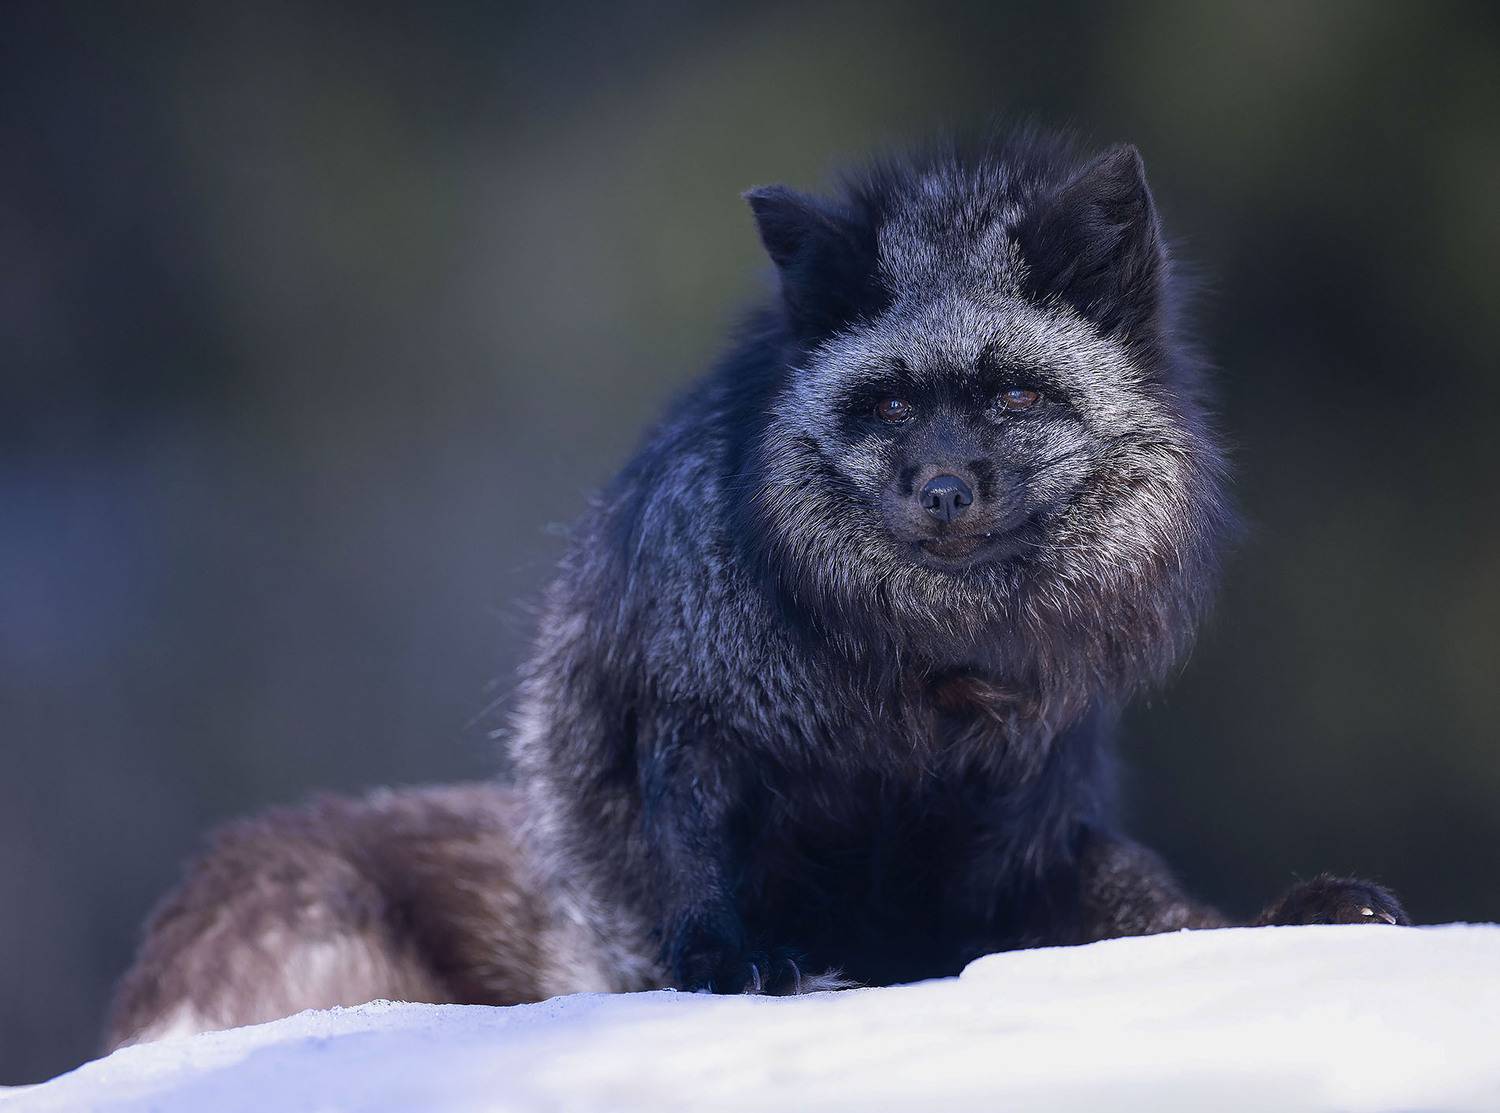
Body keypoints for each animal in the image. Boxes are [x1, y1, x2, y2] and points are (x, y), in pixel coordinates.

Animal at [107, 130, 1406, 1047]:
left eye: (1016, 396)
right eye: (889, 404)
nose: (944, 490)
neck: (918, 693)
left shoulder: (1016, 830)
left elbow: (1150, 917)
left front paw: (1295, 917)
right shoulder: (697, 732)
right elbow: (708, 872)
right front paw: (737, 965)